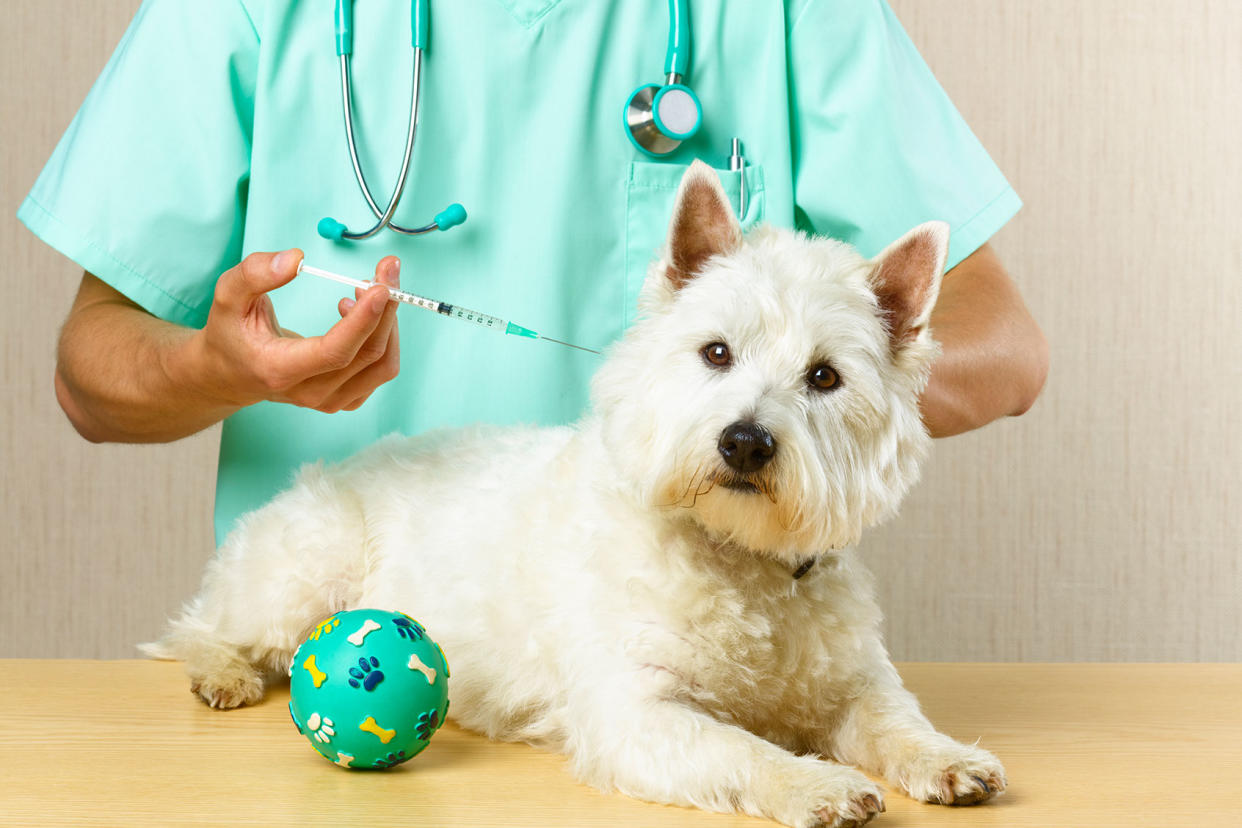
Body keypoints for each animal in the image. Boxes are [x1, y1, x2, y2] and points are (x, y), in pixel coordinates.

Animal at [145, 158, 1003, 824]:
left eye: (825, 377)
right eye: (715, 352)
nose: (745, 442)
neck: (739, 555)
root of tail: (330, 472)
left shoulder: (853, 680)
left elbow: (894, 719)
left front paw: (949, 758)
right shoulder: (639, 716)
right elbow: (739, 747)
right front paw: (817, 783)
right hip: (305, 569)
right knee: (199, 626)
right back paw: (223, 673)